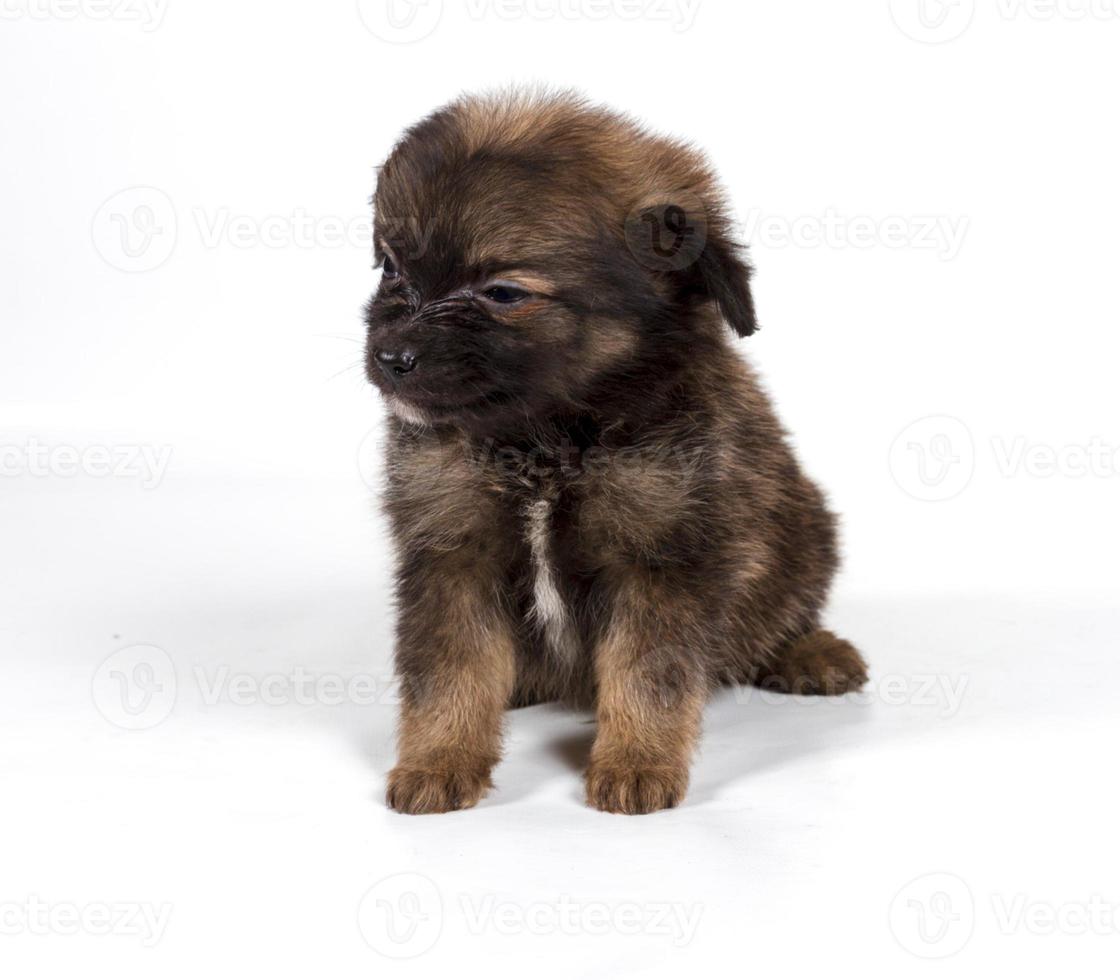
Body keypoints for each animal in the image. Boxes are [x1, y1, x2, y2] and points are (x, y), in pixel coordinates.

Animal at [362, 90, 860, 810]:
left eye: (504, 293)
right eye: (392, 267)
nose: (390, 356)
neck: (544, 437)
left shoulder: (658, 555)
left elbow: (648, 673)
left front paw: (638, 762)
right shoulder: (453, 550)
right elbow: (448, 669)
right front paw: (439, 759)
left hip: (806, 532)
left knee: (786, 611)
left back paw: (809, 653)